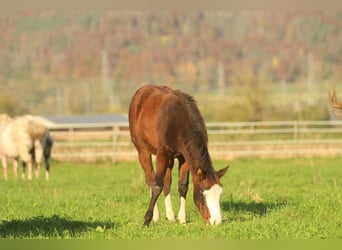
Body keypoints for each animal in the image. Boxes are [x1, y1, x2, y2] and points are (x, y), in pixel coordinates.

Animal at [128, 85, 230, 226]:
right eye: (204, 194)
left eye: (220, 194)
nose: (216, 221)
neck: (179, 121)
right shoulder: (162, 154)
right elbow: (157, 185)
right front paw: (146, 220)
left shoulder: (185, 157)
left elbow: (182, 186)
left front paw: (182, 218)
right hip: (143, 151)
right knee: (150, 179)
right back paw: (156, 215)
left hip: (170, 158)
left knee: (167, 181)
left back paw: (170, 215)